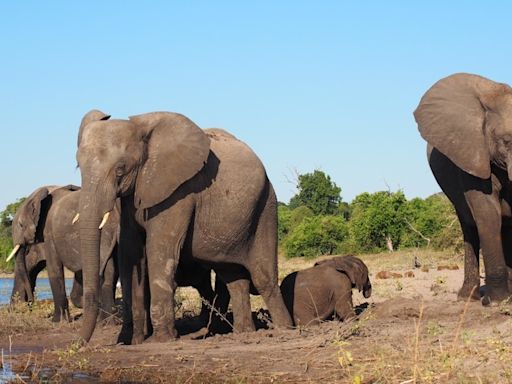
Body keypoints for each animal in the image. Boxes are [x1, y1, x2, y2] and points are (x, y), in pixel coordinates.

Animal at [8, 185, 118, 320]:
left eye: (20, 224)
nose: (30, 303)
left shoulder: (49, 231)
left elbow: (53, 268)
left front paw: (57, 321)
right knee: (109, 268)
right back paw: (107, 319)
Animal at [75, 109, 292, 344]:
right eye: (78, 166)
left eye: (120, 169)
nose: (78, 345)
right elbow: (130, 254)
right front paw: (133, 341)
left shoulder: (179, 193)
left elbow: (159, 251)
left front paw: (162, 340)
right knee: (234, 277)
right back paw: (244, 333)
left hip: (266, 206)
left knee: (263, 278)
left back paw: (285, 330)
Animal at [414, 73, 512, 306]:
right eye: (506, 141)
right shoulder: (472, 154)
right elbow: (488, 214)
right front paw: (497, 301)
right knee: (470, 225)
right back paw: (468, 297)